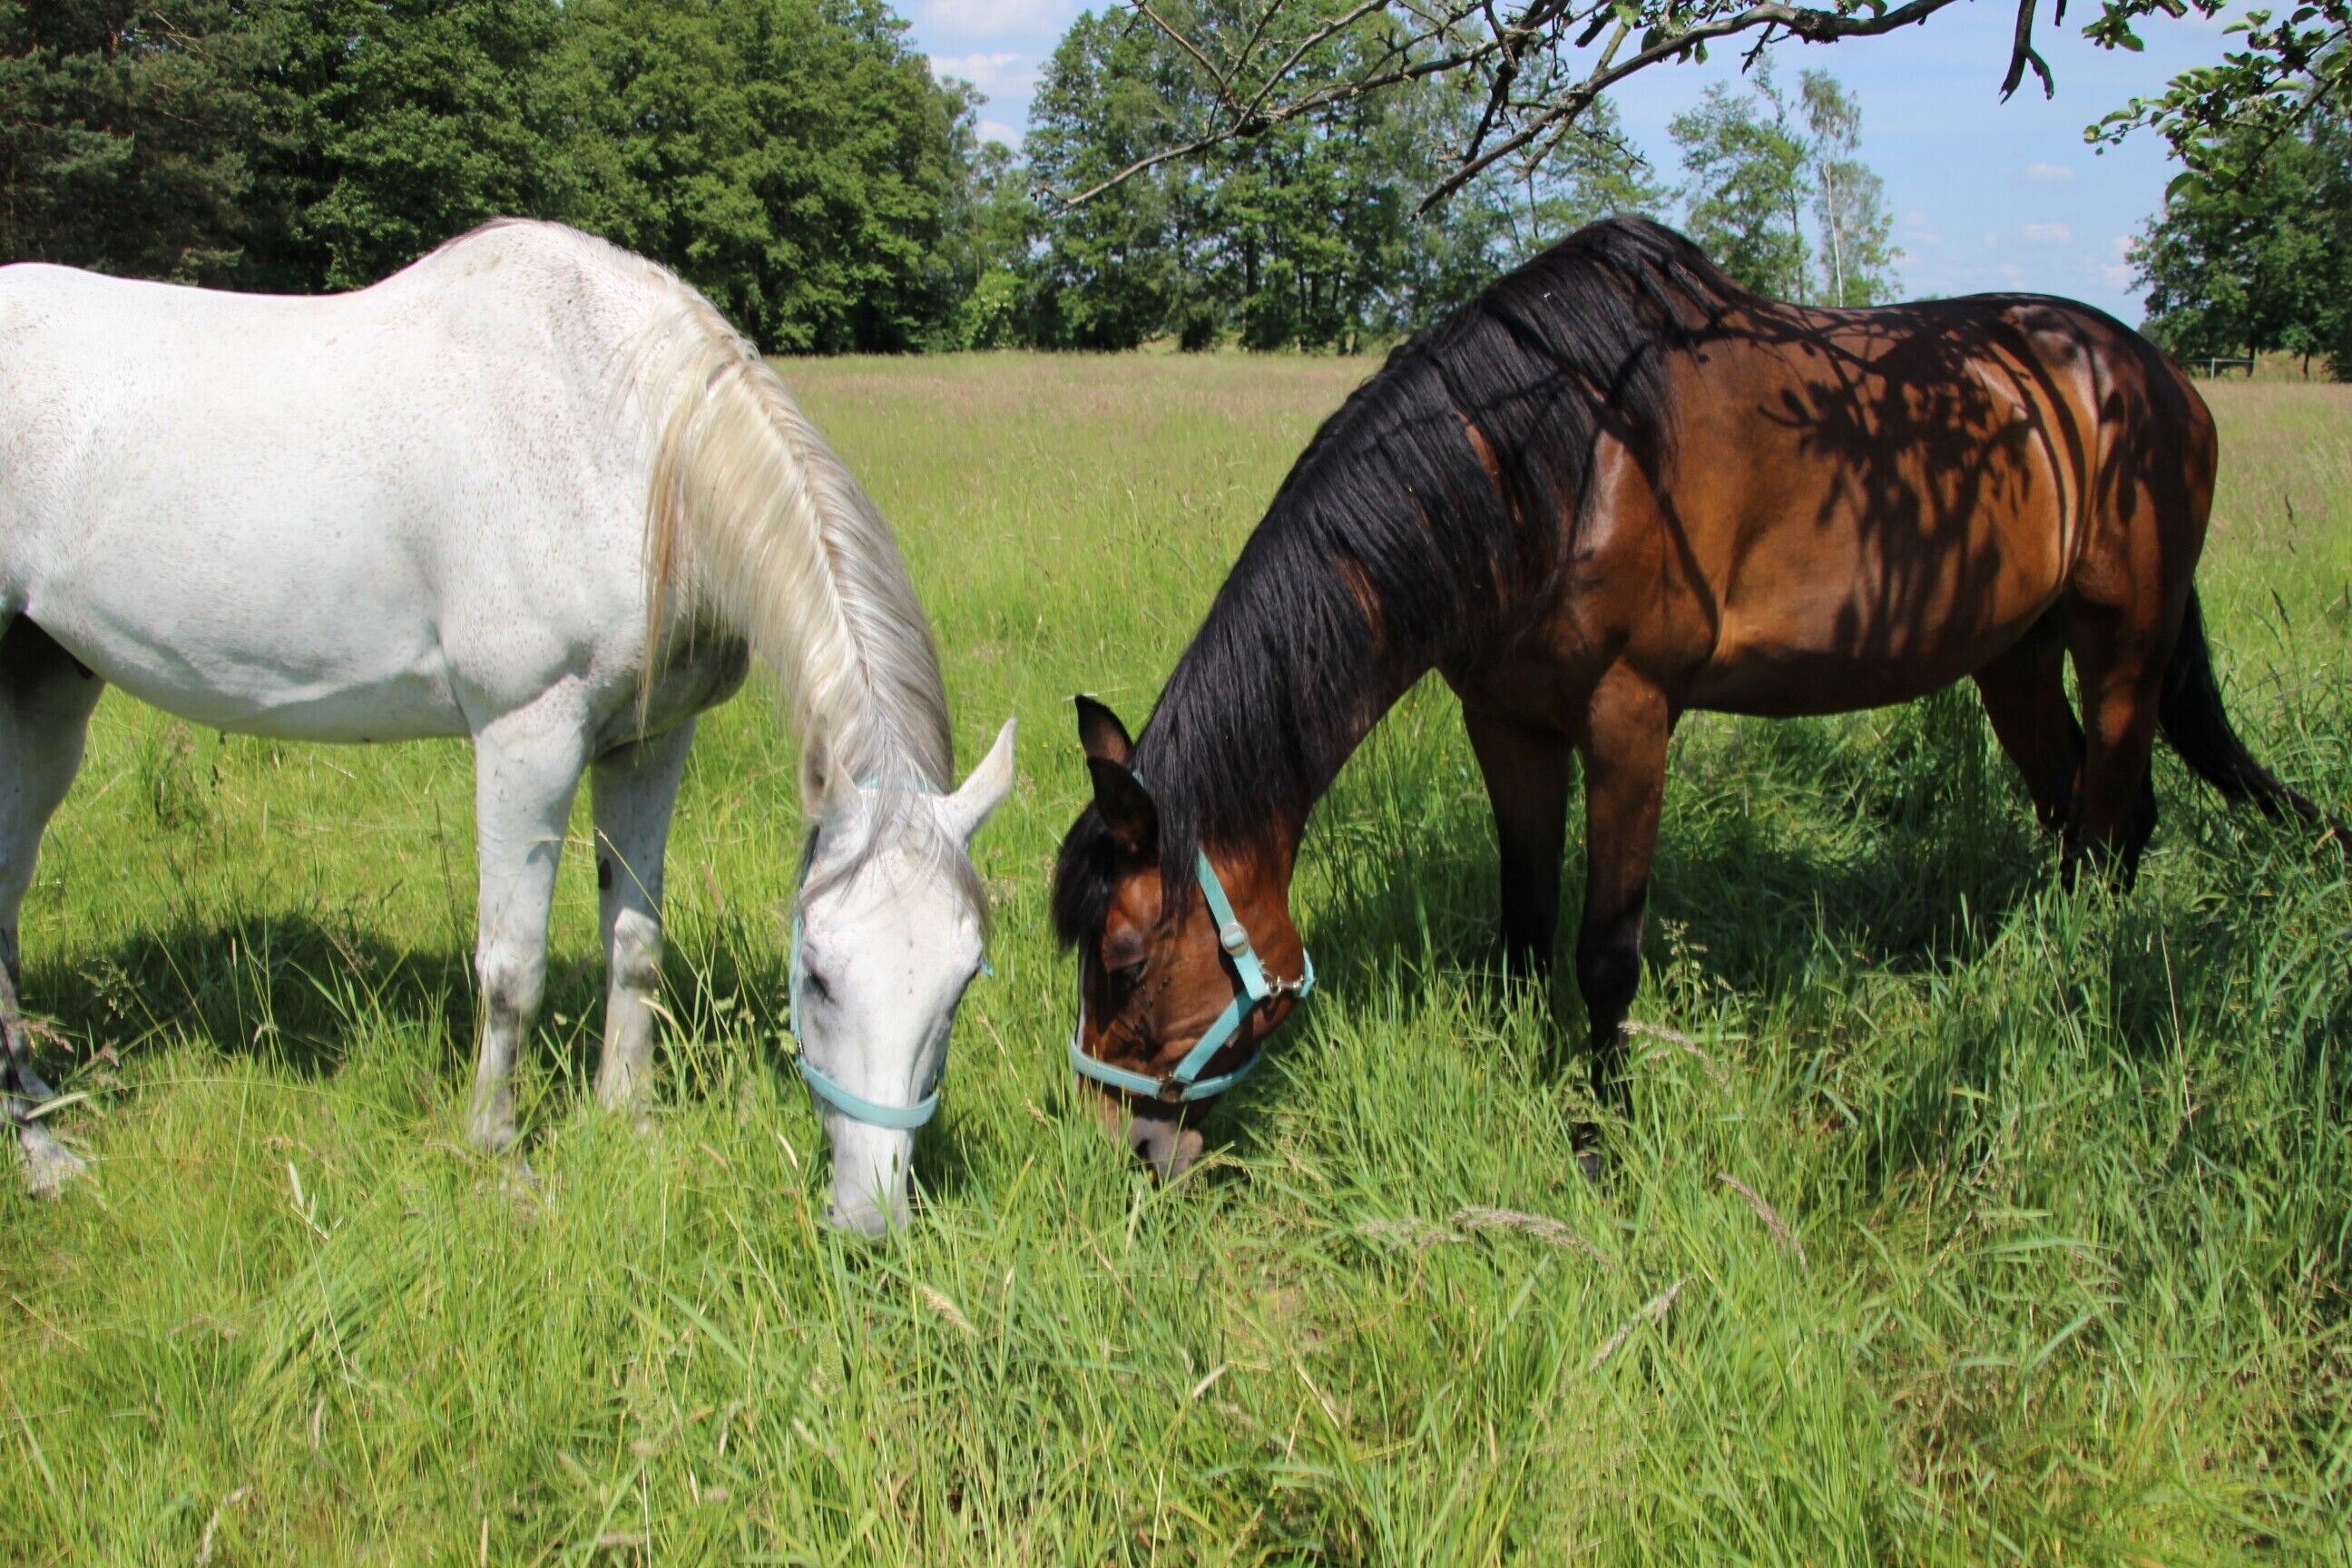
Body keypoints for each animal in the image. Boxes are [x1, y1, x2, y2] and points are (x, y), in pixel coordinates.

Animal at [0, 219, 1014, 1233]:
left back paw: (41, 1130)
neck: (625, 438)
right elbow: (510, 970)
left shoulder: (649, 743)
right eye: (817, 975)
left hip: (42, 688)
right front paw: (499, 1162)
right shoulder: (528, 736)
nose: (870, 1220)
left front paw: (630, 1122)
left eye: (963, 979)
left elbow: (634, 944)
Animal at [1052, 216, 2343, 1182]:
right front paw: (1515, 1070)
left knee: (2114, 826)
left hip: (2122, 649)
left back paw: (2074, 989)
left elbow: (1604, 952)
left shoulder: (1630, 720)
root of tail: (2153, 375)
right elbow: (1523, 921)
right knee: (2081, 816)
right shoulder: (1507, 722)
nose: (1128, 1146)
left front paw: (1598, 1140)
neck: (1553, 461)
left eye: (1124, 959)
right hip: (2015, 659)